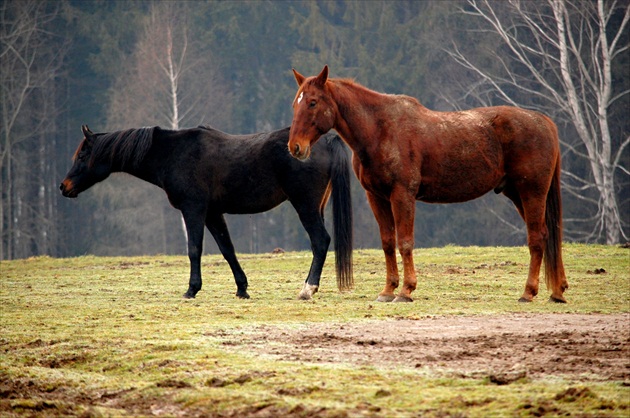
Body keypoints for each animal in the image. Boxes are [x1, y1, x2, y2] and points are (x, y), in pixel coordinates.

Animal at [61, 125, 354, 300]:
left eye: (82, 156)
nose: (64, 187)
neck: (173, 153)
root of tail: (326, 140)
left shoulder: (193, 210)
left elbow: (194, 249)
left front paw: (192, 289)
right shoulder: (213, 214)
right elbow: (227, 250)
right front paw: (242, 288)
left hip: (304, 205)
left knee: (320, 241)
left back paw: (308, 288)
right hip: (316, 206)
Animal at [288, 64, 572, 304]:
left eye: (312, 102)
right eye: (295, 103)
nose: (295, 147)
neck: (381, 130)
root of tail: (544, 122)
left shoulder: (402, 195)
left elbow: (405, 242)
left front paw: (405, 290)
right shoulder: (376, 197)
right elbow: (388, 242)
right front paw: (388, 290)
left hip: (531, 192)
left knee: (537, 238)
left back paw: (529, 292)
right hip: (518, 194)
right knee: (547, 235)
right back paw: (557, 291)